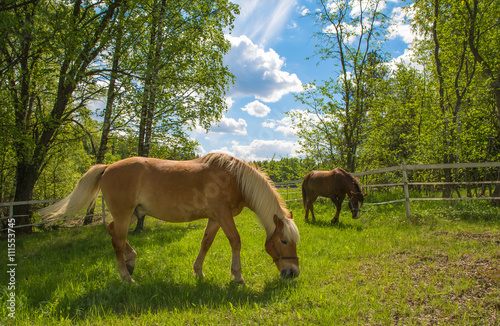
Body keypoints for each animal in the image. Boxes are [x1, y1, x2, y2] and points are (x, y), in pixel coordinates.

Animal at [40, 153, 300, 282]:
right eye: (283, 241)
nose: (293, 273)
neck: (234, 178)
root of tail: (107, 167)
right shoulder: (223, 215)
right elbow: (235, 241)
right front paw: (237, 276)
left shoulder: (215, 218)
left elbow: (206, 243)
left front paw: (198, 272)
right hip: (125, 214)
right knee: (117, 241)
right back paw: (126, 278)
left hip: (132, 214)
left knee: (113, 231)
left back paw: (131, 262)